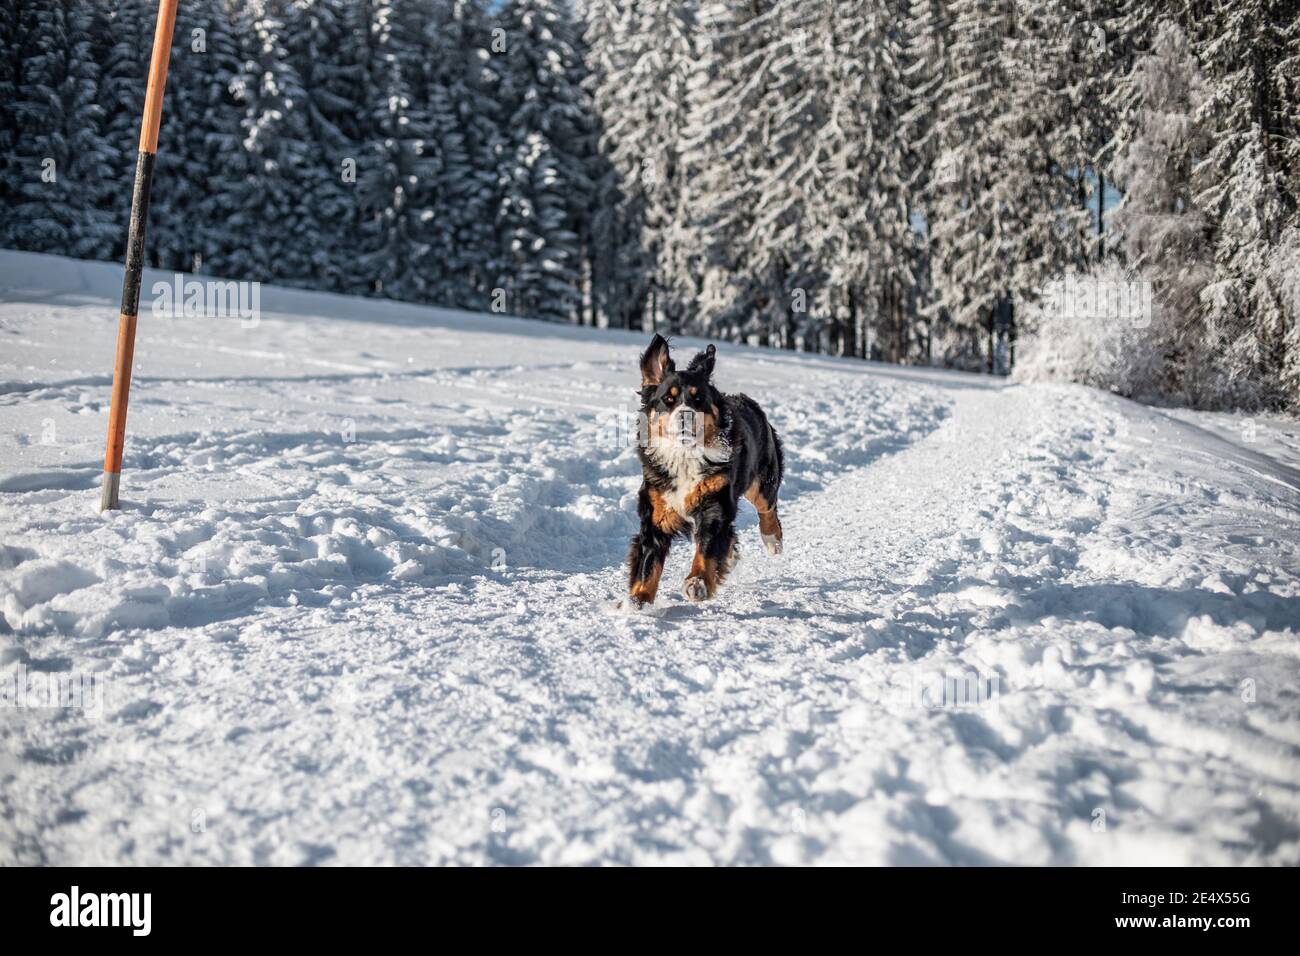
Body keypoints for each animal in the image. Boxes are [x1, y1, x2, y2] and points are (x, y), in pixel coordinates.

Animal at [626, 335, 780, 606]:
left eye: (698, 399)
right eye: (668, 399)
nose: (686, 415)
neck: (684, 456)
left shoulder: (714, 505)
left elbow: (706, 549)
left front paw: (697, 583)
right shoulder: (657, 512)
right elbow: (648, 563)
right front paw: (638, 599)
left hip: (763, 480)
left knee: (767, 508)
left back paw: (772, 541)